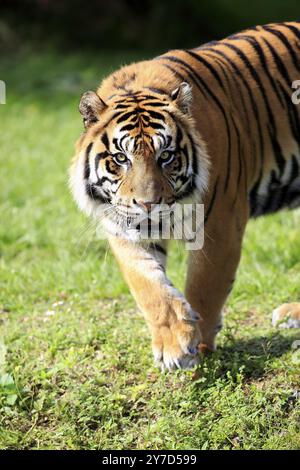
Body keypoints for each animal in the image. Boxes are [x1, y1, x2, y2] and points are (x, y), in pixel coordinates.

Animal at [69, 22, 300, 370]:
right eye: (121, 158)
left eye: (166, 156)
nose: (148, 204)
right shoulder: (122, 225)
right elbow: (148, 286)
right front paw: (174, 343)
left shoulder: (221, 221)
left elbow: (205, 285)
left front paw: (198, 347)